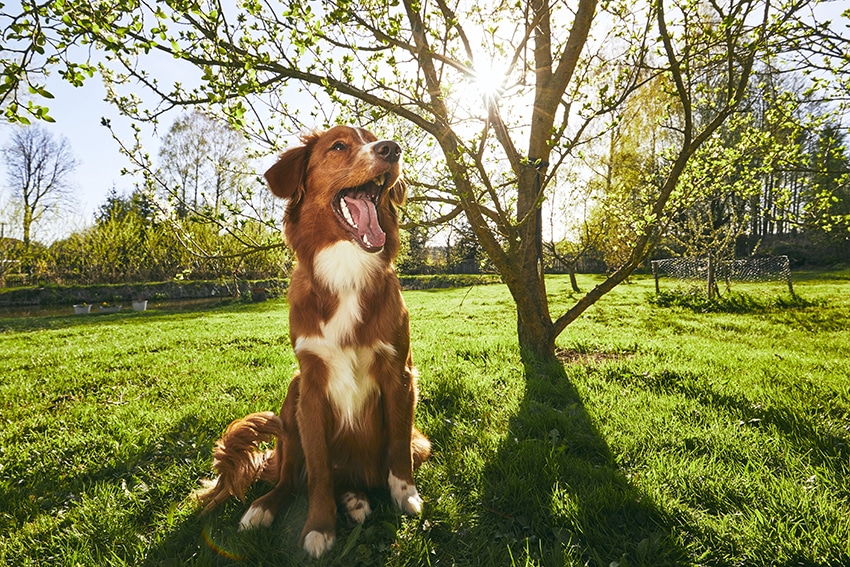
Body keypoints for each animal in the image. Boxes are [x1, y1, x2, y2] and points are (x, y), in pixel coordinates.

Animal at [199, 125, 430, 560]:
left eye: (373, 137)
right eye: (339, 146)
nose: (392, 149)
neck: (346, 267)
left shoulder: (401, 373)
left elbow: (397, 447)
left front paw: (405, 494)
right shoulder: (311, 384)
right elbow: (319, 471)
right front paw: (320, 528)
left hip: (417, 441)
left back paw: (356, 499)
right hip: (291, 401)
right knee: (292, 478)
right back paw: (265, 507)